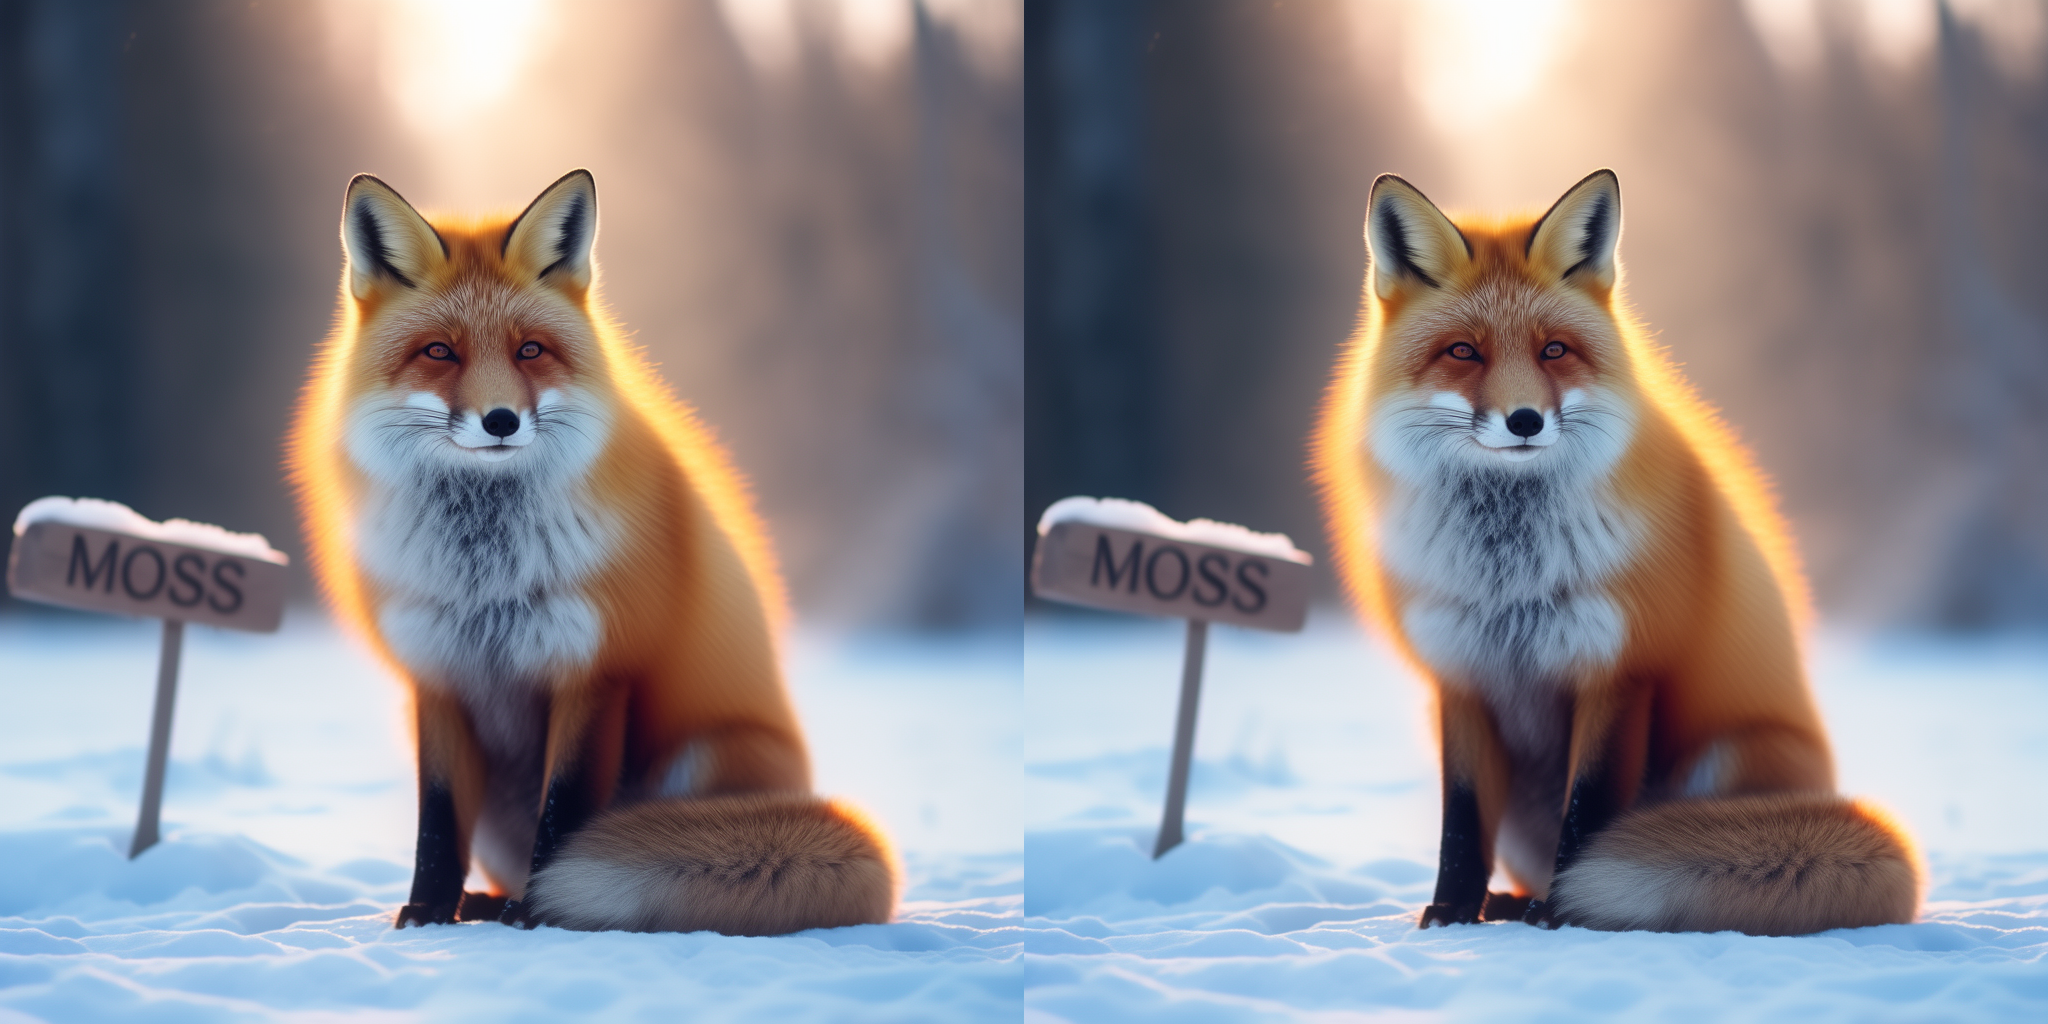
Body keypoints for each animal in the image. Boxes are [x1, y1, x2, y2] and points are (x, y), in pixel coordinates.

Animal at [288, 169, 896, 934]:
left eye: (529, 350)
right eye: (439, 352)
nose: (500, 421)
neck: (483, 573)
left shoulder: (596, 669)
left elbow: (566, 811)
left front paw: (539, 911)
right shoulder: (437, 677)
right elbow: (437, 824)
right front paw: (427, 913)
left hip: (703, 757)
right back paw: (478, 903)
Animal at [1312, 170, 1920, 935]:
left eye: (1553, 350)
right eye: (1463, 352)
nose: (1524, 420)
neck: (1507, 574)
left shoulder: (1619, 669)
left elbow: (1590, 811)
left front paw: (1562, 912)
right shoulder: (1461, 678)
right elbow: (1461, 823)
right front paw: (1451, 913)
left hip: (1727, 757)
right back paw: (1501, 903)